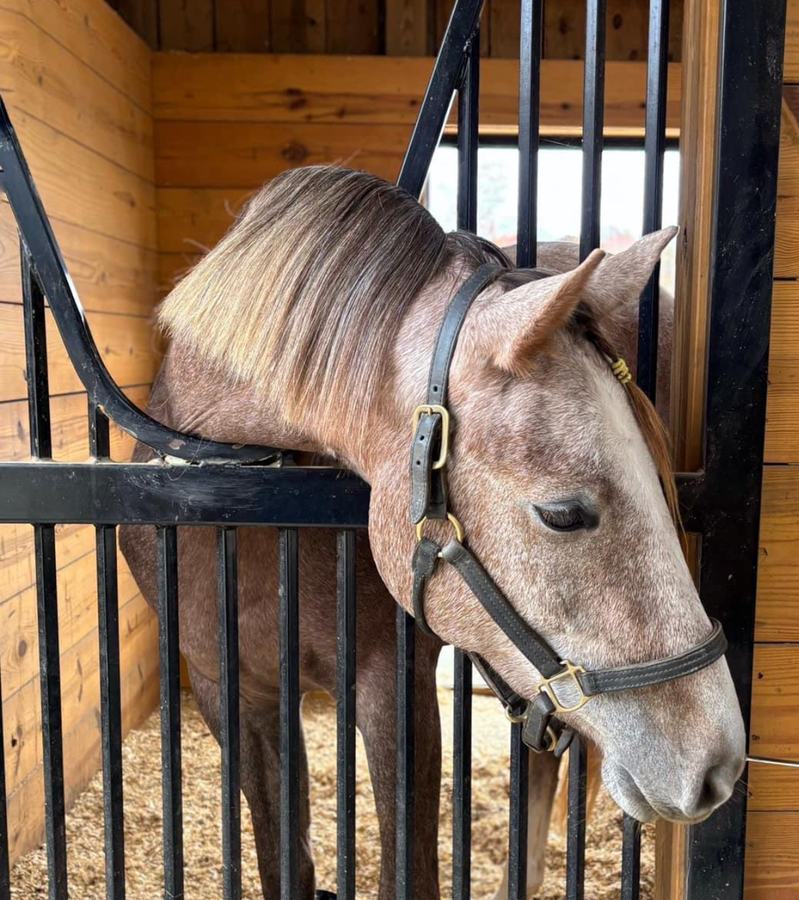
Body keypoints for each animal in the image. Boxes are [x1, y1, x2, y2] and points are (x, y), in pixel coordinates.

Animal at [120, 165, 745, 899]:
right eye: (562, 514)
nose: (717, 761)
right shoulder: (232, 694)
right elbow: (286, 861)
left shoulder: (395, 688)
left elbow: (407, 868)